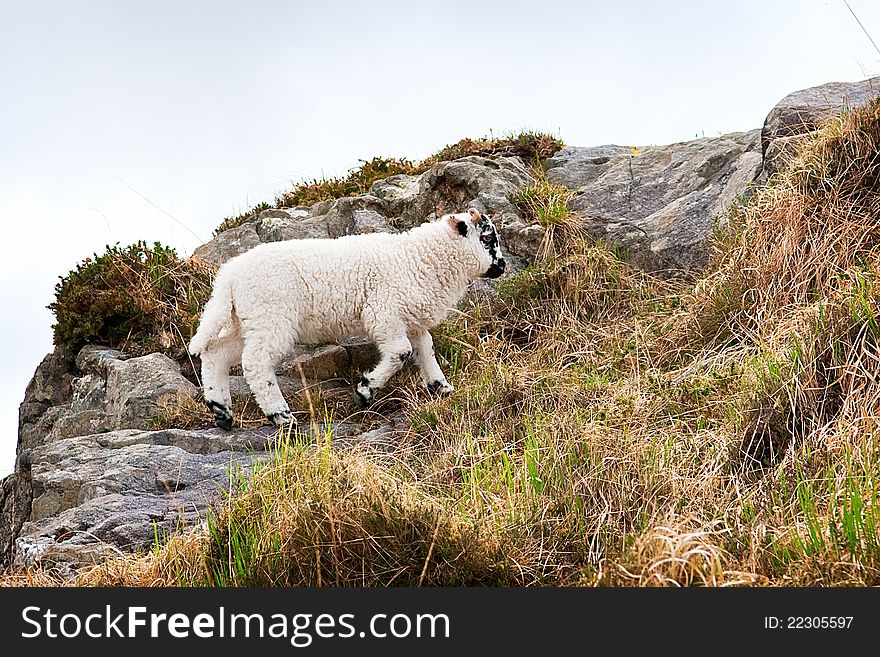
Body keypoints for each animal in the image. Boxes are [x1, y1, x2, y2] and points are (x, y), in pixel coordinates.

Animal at [189, 206, 506, 430]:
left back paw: (222, 412)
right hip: (270, 318)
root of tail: (228, 275)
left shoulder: (411, 320)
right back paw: (281, 417)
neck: (420, 258)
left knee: (215, 354)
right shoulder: (384, 313)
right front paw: (365, 392)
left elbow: (425, 351)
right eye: (488, 238)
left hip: (245, 321)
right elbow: (401, 353)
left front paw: (442, 389)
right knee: (255, 365)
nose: (502, 266)